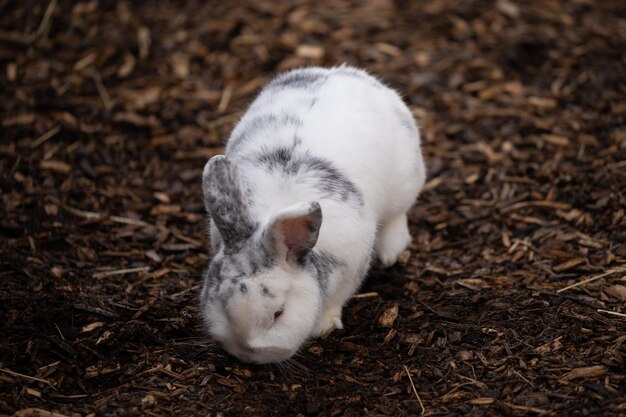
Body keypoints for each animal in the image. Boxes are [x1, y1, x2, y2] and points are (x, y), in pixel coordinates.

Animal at [200, 64, 424, 360]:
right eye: (223, 306)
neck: (273, 211)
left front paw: (323, 327)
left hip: (406, 180)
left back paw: (391, 252)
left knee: (398, 216)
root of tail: (342, 73)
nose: (246, 353)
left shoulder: (353, 268)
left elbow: (336, 299)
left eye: (279, 313)